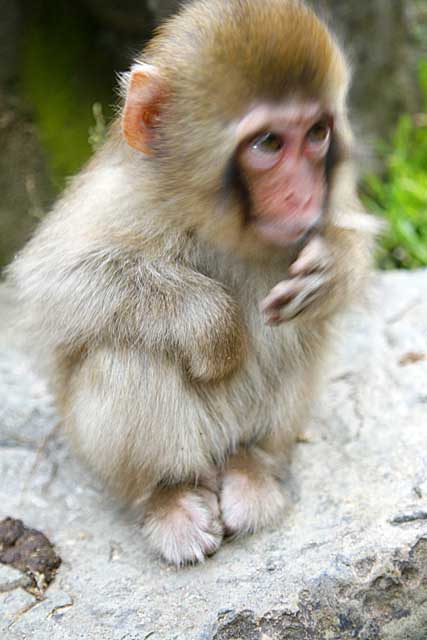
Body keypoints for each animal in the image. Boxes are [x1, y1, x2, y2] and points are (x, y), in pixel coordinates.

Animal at [7, 0, 378, 564]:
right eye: (269, 142)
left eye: (317, 134)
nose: (304, 195)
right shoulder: (122, 195)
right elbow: (48, 286)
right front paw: (214, 330)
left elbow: (347, 246)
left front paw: (331, 267)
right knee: (124, 351)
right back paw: (169, 496)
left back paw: (251, 467)